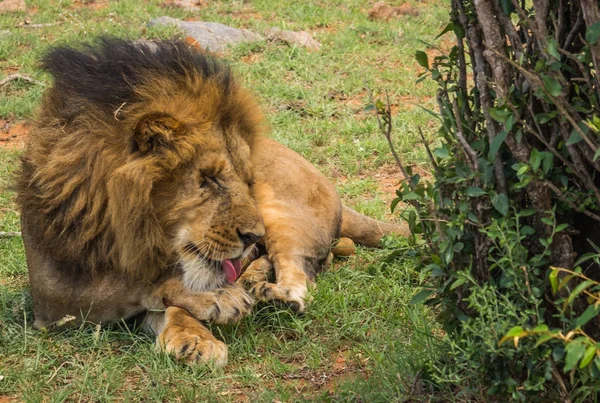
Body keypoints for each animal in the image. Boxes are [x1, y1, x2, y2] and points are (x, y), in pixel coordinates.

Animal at [16, 39, 406, 368]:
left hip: (284, 216)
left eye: (247, 180)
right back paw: (253, 282)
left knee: (301, 275)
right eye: (210, 179)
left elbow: (163, 291)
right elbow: (142, 289)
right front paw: (211, 312)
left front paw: (205, 316)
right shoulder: (55, 298)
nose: (252, 236)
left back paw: (274, 294)